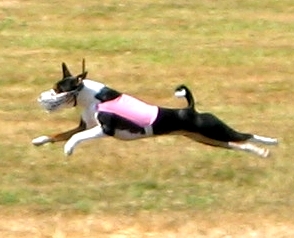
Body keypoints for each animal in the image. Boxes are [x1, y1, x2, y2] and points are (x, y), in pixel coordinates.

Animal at [32, 61, 278, 158]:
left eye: (58, 89)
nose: (43, 97)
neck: (92, 98)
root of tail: (191, 109)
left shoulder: (104, 129)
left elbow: (76, 138)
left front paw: (69, 148)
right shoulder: (84, 125)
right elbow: (59, 134)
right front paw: (39, 139)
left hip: (212, 129)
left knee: (245, 135)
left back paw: (271, 142)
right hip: (205, 138)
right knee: (237, 144)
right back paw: (260, 153)